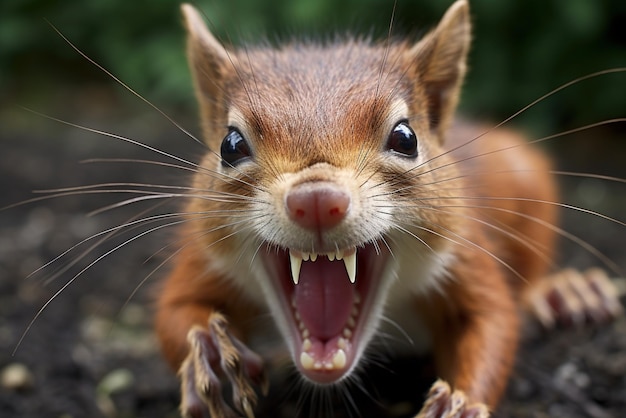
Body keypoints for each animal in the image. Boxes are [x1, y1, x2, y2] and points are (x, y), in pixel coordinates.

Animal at [154, 1, 620, 416]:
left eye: (406, 138)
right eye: (230, 145)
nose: (317, 199)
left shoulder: (464, 249)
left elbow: (493, 321)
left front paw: (461, 404)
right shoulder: (202, 254)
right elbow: (174, 310)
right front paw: (209, 351)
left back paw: (566, 292)